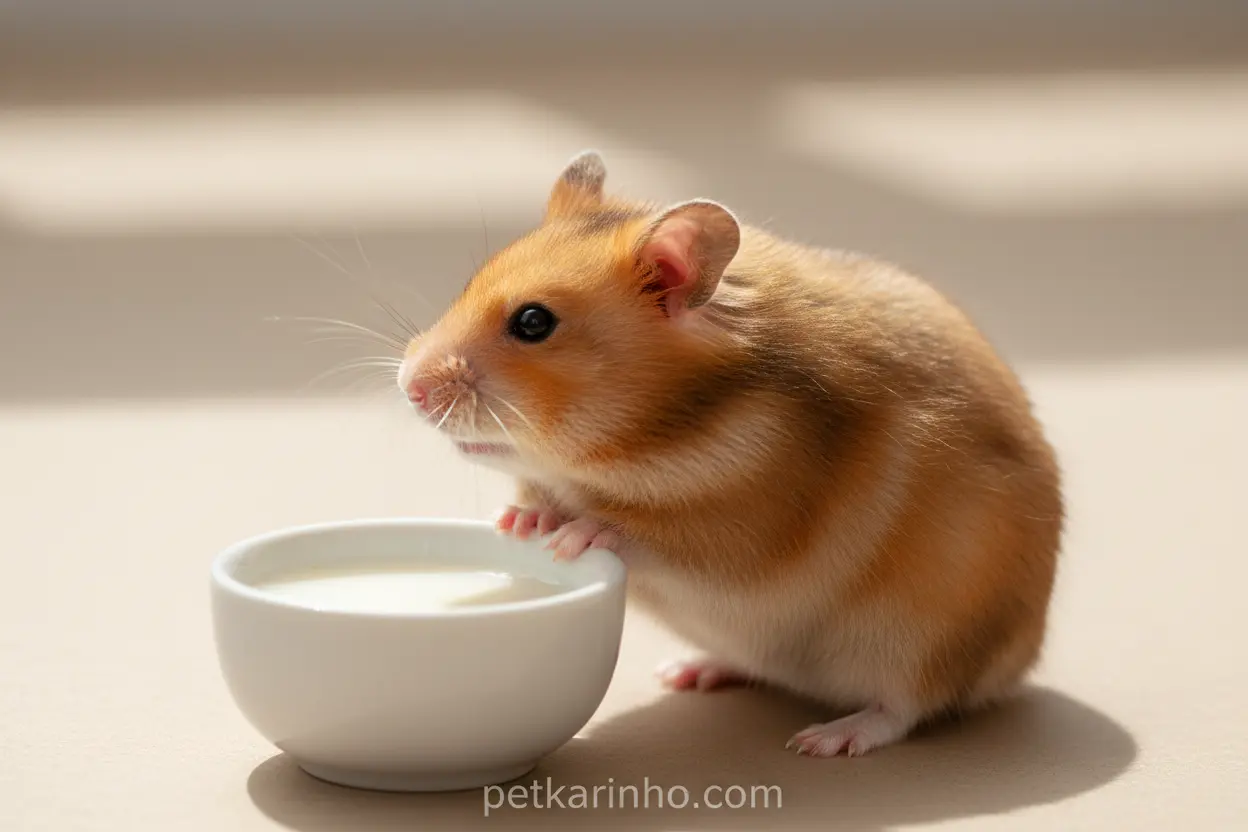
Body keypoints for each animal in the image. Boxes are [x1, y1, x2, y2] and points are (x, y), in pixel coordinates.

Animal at [397, 150, 1062, 757]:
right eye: (470, 282)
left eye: (533, 322)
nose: (408, 387)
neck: (636, 446)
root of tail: (1019, 662)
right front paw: (520, 524)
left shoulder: (751, 528)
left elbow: (657, 535)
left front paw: (574, 536)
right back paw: (691, 673)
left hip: (923, 639)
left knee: (907, 706)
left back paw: (823, 740)